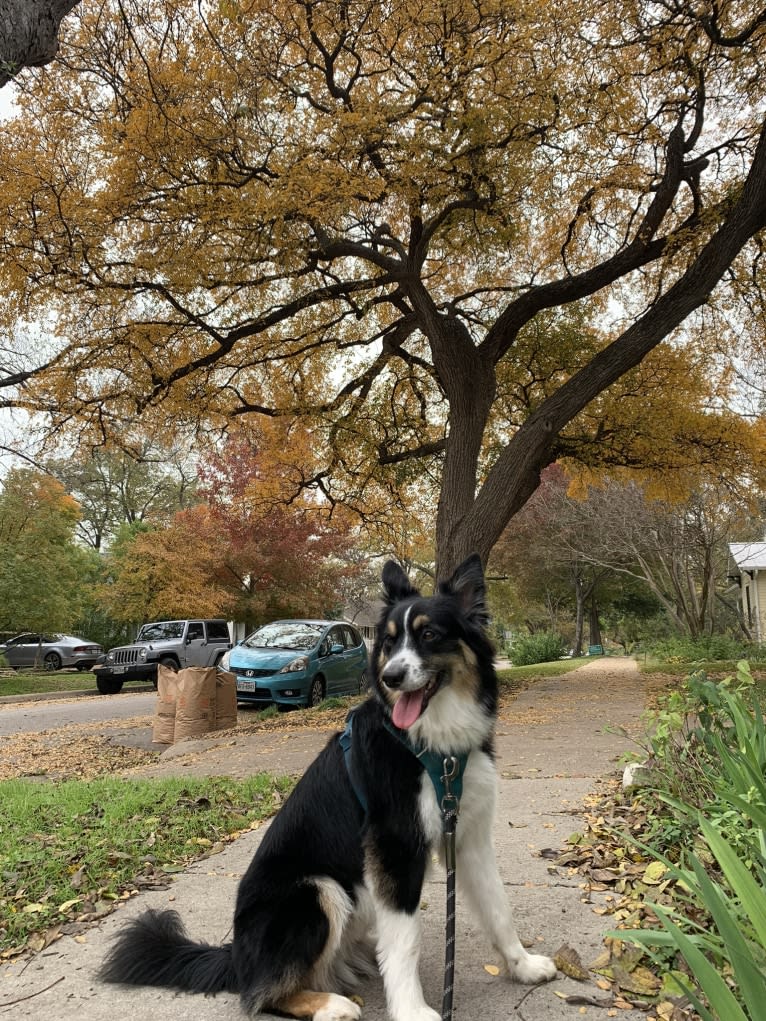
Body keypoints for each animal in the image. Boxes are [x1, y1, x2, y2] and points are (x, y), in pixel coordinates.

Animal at [102, 555, 559, 1016]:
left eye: (429, 634)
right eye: (389, 642)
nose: (391, 677)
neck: (433, 746)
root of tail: (236, 957)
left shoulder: (468, 836)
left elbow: (498, 908)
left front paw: (523, 965)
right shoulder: (394, 847)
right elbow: (406, 943)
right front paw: (412, 1010)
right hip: (317, 889)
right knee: (262, 995)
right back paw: (330, 1004)